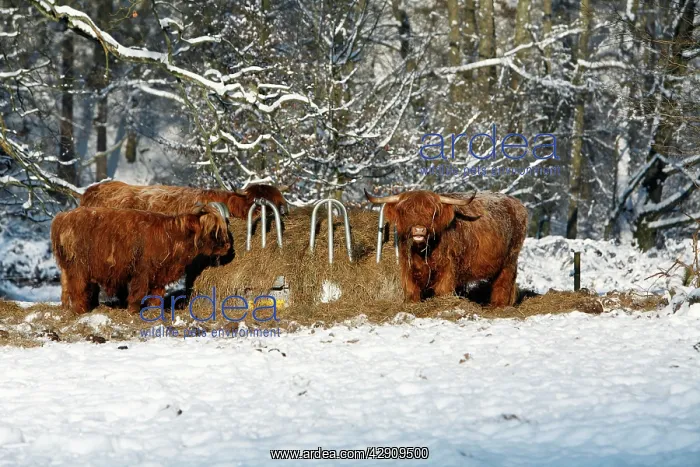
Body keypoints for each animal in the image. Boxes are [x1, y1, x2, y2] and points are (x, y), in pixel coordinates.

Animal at [51, 203, 231, 314]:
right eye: (213, 230)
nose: (227, 245)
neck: (172, 237)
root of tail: (63, 217)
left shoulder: (159, 274)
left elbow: (157, 295)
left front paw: (154, 311)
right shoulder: (142, 271)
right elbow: (138, 293)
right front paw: (133, 311)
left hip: (67, 268)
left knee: (66, 289)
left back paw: (66, 308)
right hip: (78, 268)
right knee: (78, 289)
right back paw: (81, 311)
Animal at [365, 189, 528, 306]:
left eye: (433, 212)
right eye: (406, 212)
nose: (419, 230)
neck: (423, 252)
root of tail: (516, 202)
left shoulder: (448, 266)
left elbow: (443, 289)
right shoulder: (408, 266)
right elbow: (411, 289)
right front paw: (413, 304)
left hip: (510, 258)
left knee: (504, 282)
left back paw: (498, 306)